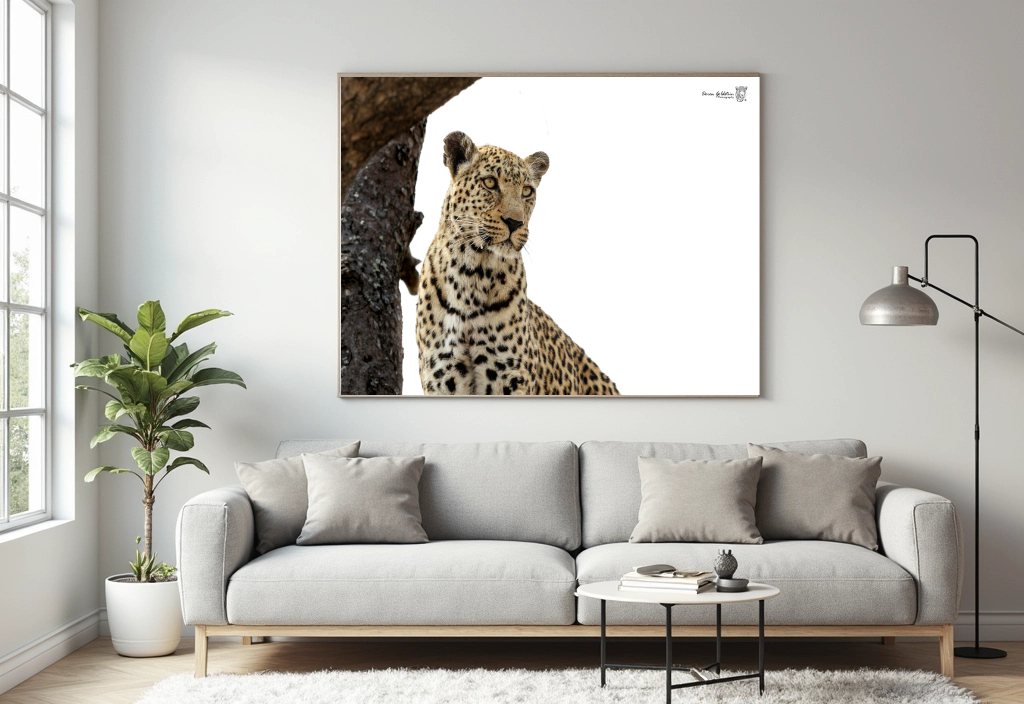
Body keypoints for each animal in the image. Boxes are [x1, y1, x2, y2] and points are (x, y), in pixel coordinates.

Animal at [415, 131, 620, 396]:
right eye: (490, 182)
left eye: (527, 191)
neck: (472, 273)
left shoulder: (510, 378)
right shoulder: (443, 378)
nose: (515, 223)